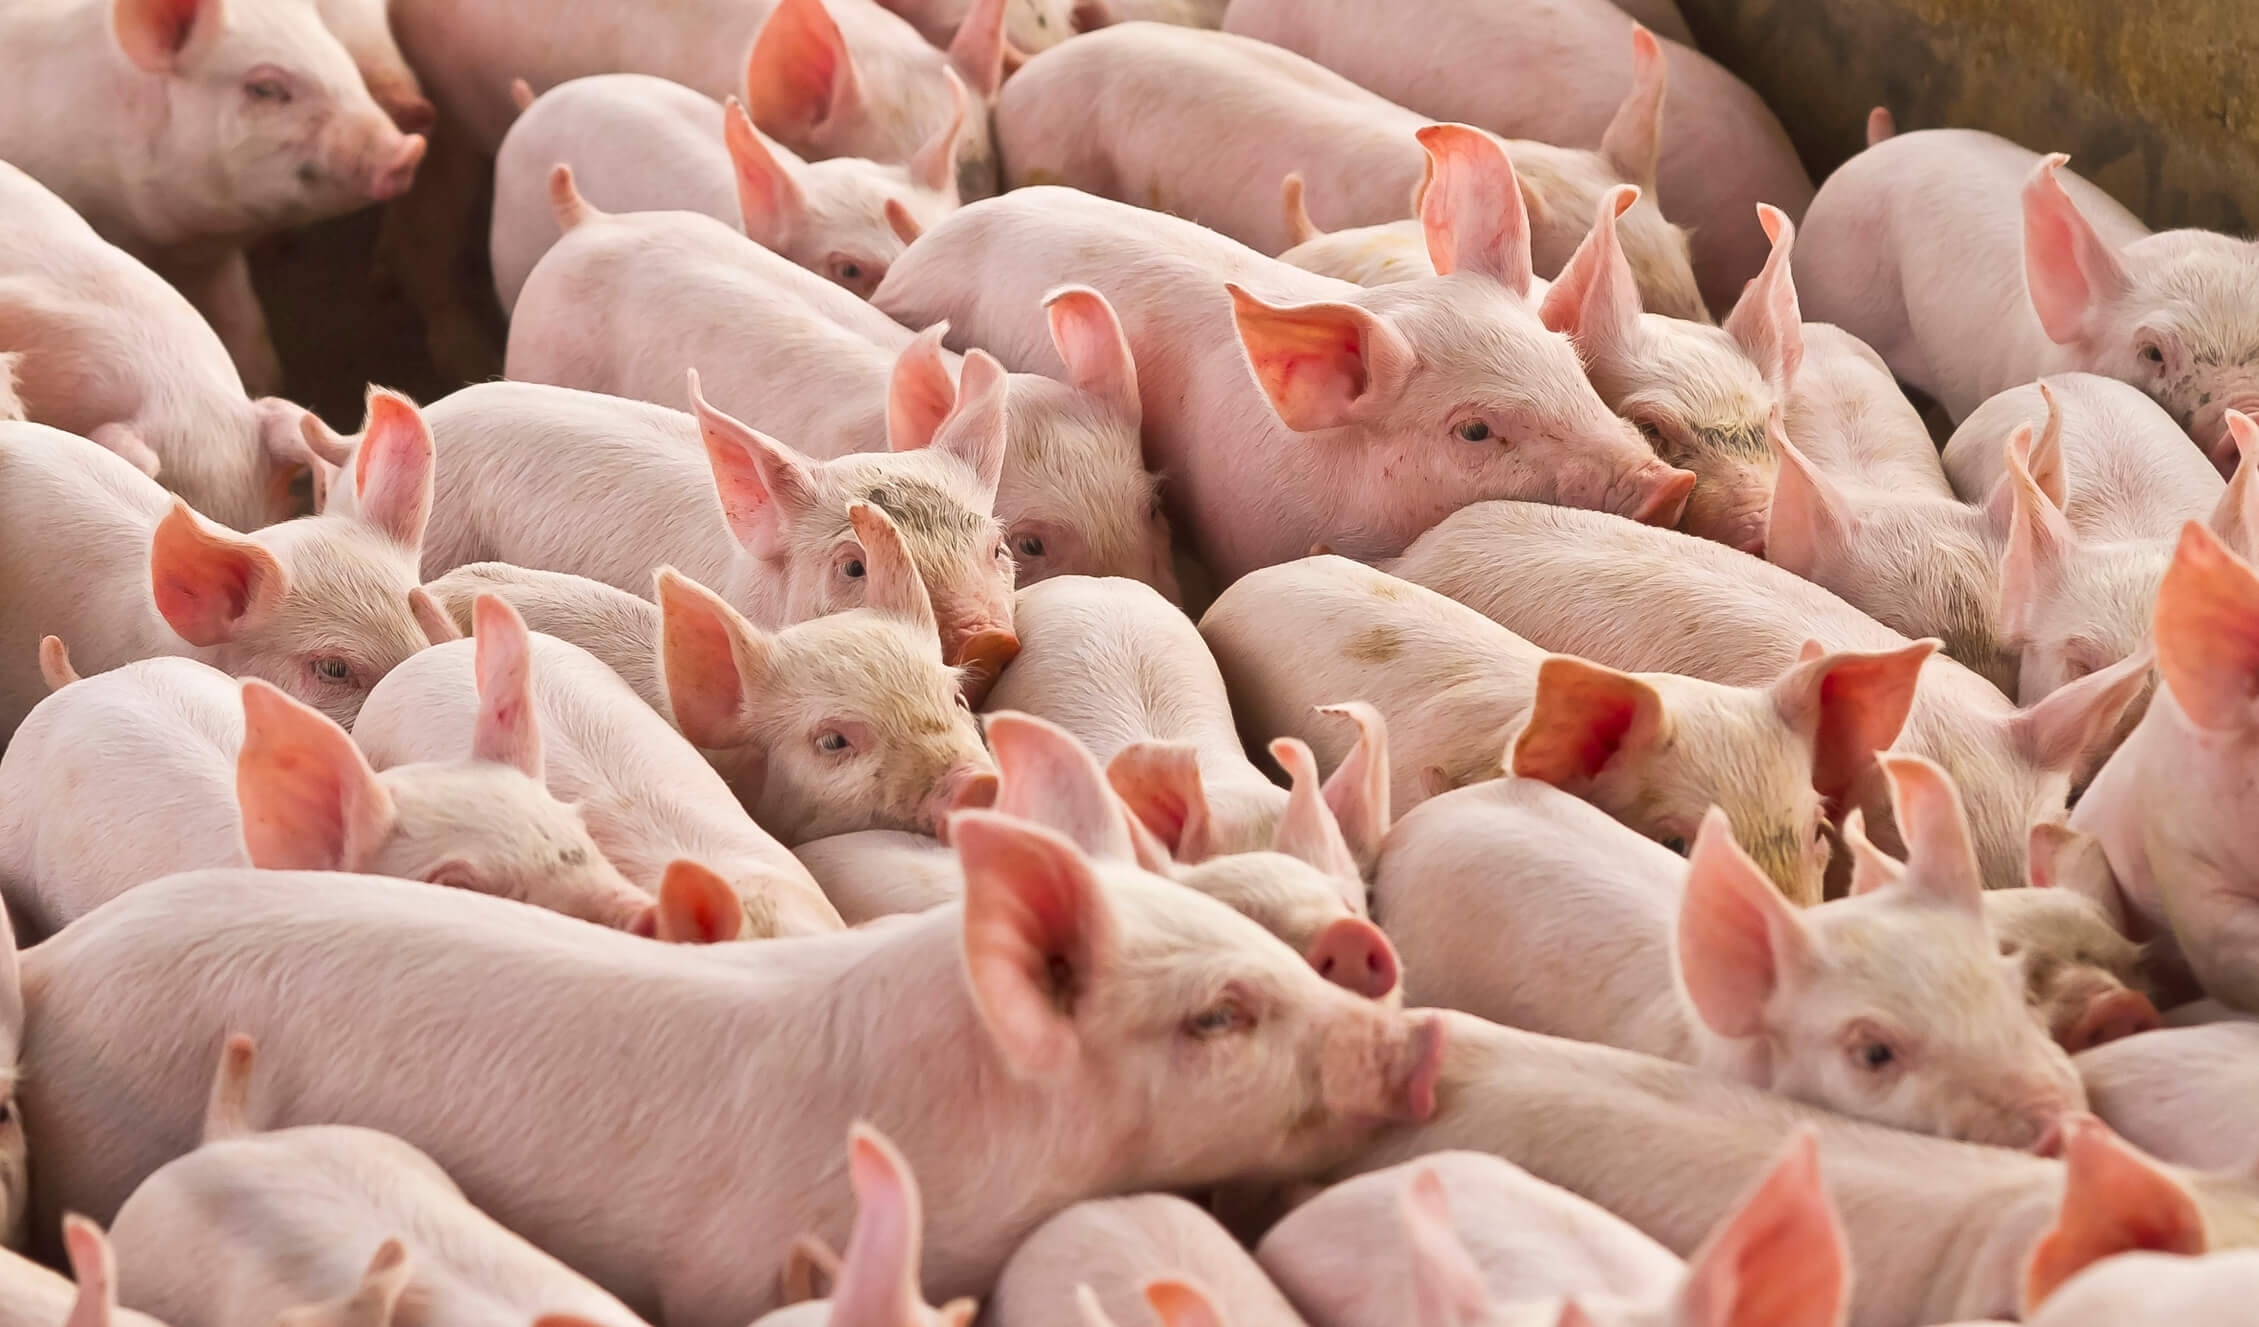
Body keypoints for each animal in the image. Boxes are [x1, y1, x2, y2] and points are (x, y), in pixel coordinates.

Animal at [0, 0, 426, 393]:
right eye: (265, 89)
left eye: (341, 58)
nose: (408, 151)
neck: (163, 242)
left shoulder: (212, 257)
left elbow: (252, 347)